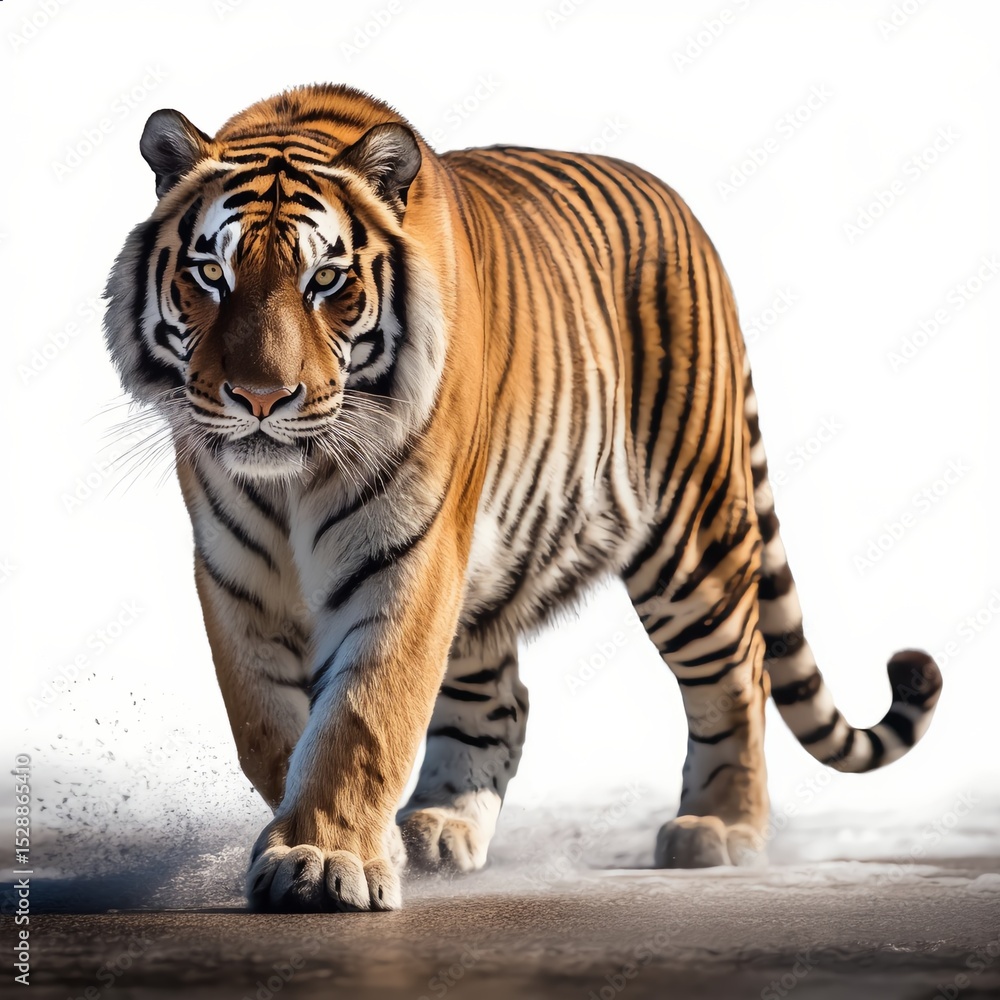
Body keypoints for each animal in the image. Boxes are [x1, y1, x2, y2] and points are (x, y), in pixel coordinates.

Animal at [104, 83, 942, 913]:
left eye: (327, 281)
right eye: (212, 275)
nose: (260, 397)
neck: (293, 484)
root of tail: (684, 211)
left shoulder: (407, 555)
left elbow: (362, 716)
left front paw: (322, 856)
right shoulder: (236, 576)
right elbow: (266, 724)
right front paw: (327, 838)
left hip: (691, 540)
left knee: (739, 673)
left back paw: (719, 829)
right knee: (502, 698)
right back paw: (442, 827)